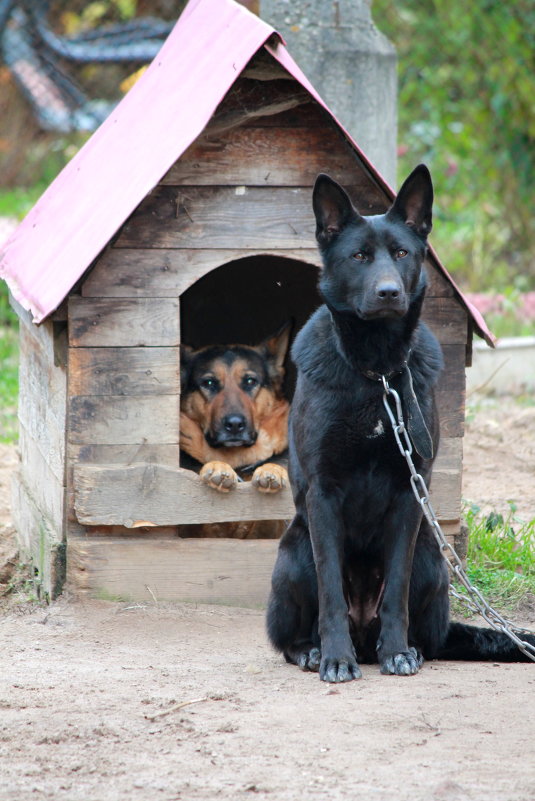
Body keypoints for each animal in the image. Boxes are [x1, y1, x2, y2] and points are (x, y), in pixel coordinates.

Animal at [268, 166, 535, 680]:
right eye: (358, 256)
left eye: (402, 254)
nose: (389, 293)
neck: (377, 376)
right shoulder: (322, 494)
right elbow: (331, 592)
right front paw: (335, 658)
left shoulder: (411, 492)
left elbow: (395, 590)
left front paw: (396, 652)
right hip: (295, 551)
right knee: (289, 637)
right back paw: (314, 650)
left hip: (432, 556)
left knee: (424, 631)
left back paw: (402, 647)